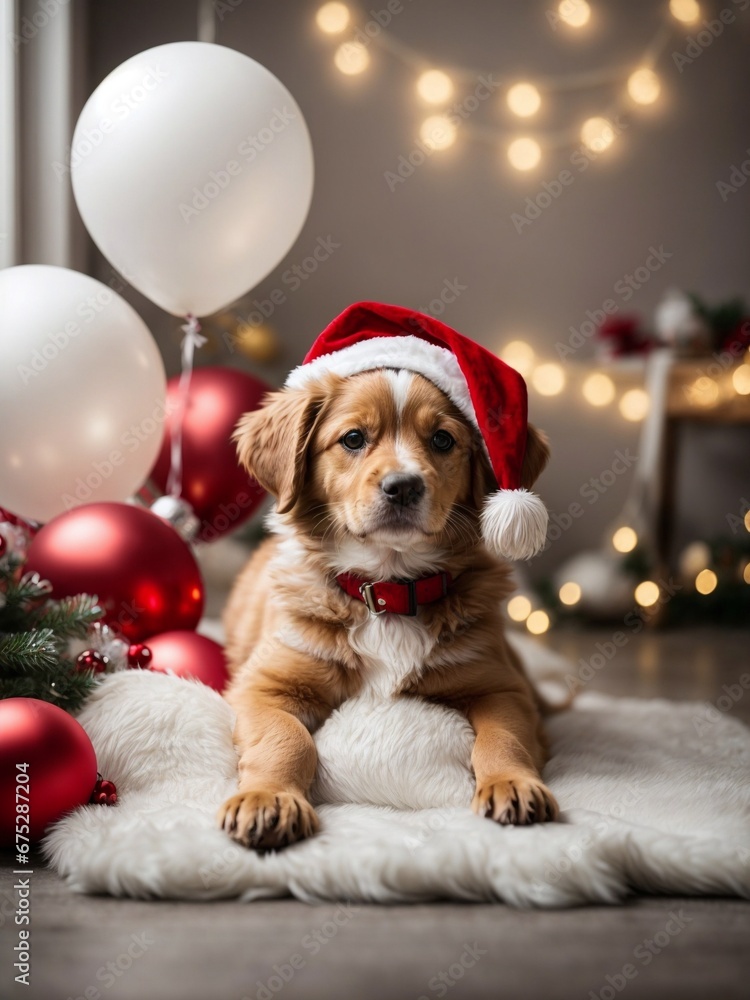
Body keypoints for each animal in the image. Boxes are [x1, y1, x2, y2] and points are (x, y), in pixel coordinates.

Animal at [217, 346, 560, 852]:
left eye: (442, 440)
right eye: (353, 439)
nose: (404, 486)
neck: (388, 588)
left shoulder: (501, 686)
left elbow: (503, 738)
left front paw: (512, 783)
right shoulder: (262, 686)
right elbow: (285, 739)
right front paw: (269, 798)